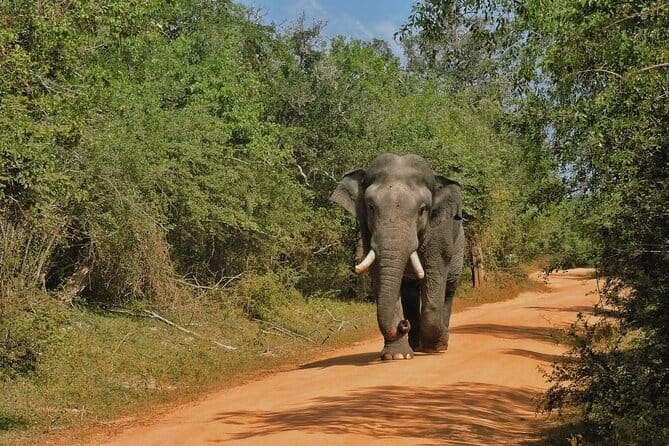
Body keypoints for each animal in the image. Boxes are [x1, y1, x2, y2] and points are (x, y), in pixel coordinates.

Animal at [331, 153, 464, 360]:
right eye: (370, 207)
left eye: (422, 210)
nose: (403, 324)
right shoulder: (366, 229)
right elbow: (379, 273)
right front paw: (398, 356)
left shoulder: (440, 232)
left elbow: (435, 273)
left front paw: (435, 347)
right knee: (409, 291)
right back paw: (415, 346)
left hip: (459, 246)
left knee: (449, 288)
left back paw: (439, 344)